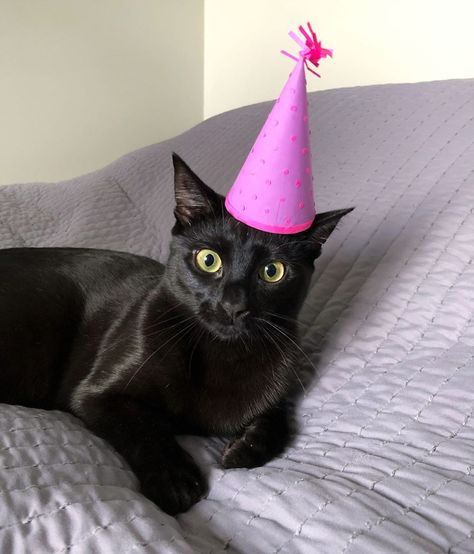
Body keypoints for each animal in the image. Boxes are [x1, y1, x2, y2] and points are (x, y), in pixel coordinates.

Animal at [0, 154, 352, 512]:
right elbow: (143, 428)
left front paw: (246, 447)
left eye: (273, 271)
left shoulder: (279, 387)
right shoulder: (97, 394)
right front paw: (176, 480)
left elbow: (282, 421)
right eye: (208, 260)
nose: (232, 306)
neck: (220, 352)